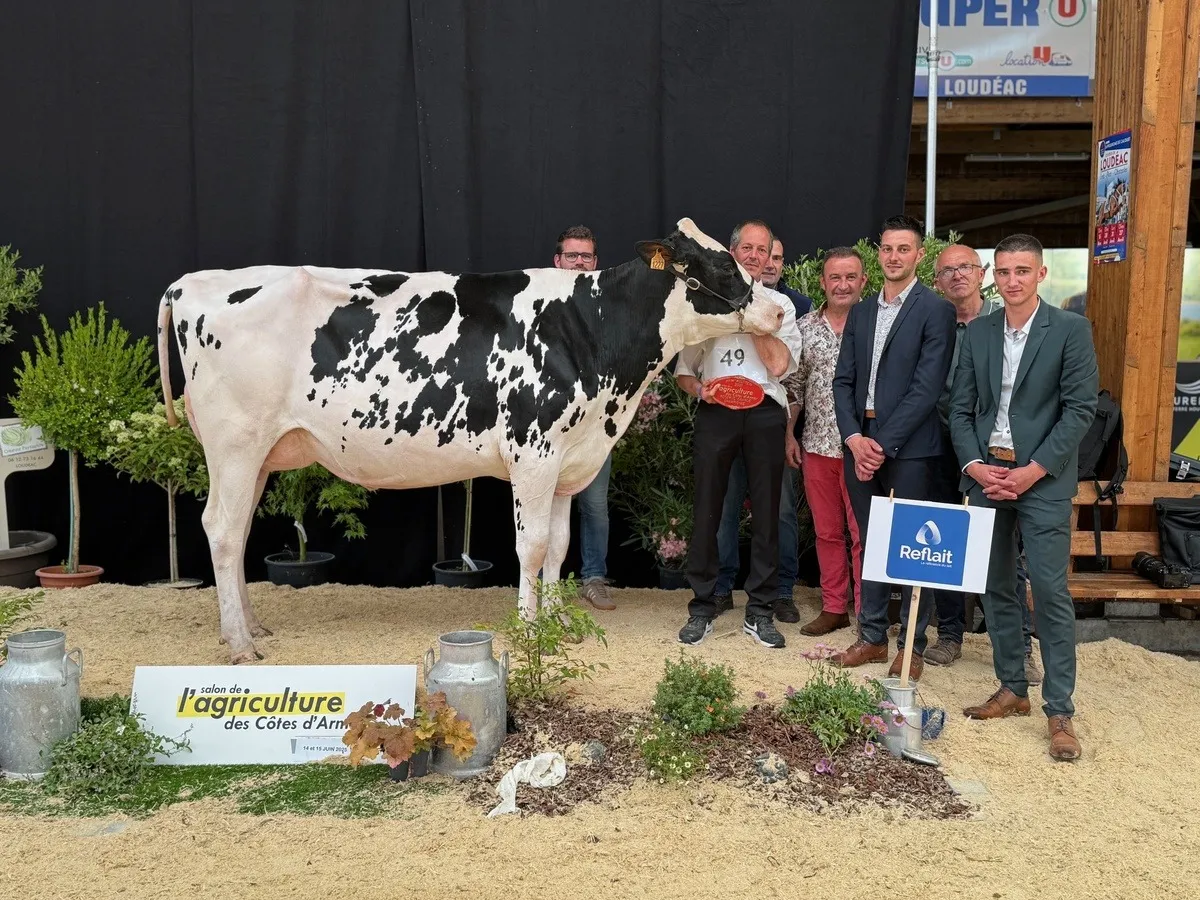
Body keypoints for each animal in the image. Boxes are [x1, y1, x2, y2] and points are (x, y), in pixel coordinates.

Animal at [157, 217, 786, 664]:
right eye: (720, 266)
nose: (778, 310)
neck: (592, 331)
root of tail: (193, 282)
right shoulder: (534, 452)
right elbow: (531, 547)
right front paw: (530, 631)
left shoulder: (568, 460)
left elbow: (558, 547)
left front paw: (559, 622)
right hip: (235, 442)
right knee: (222, 528)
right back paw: (241, 644)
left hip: (261, 453)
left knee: (237, 532)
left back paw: (250, 626)